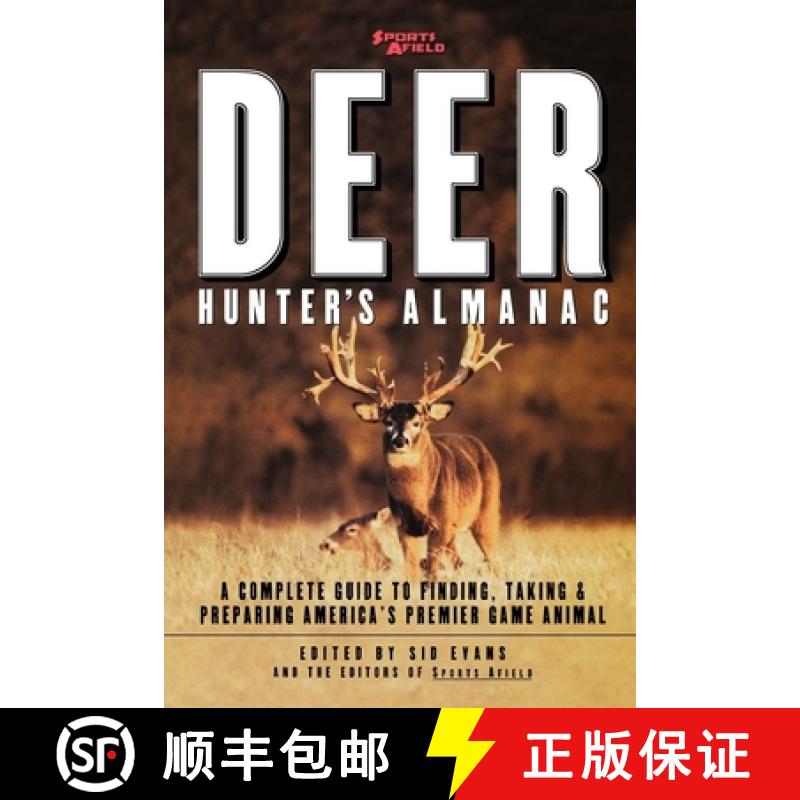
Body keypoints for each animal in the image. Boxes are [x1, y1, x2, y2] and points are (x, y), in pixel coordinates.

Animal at [303, 319, 512, 577]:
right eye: (387, 421)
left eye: (418, 422)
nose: (400, 441)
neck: (418, 500)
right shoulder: (403, 525)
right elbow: (412, 570)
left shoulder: (442, 522)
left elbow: (431, 571)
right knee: (458, 560)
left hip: (488, 512)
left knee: (493, 560)